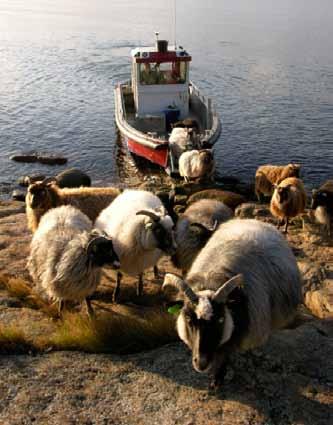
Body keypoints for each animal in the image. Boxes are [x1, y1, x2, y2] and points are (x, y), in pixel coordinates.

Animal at [162, 219, 302, 388]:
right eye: (189, 320)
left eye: (220, 320)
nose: (201, 363)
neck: (211, 280)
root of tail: (252, 221)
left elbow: (226, 354)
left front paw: (217, 378)